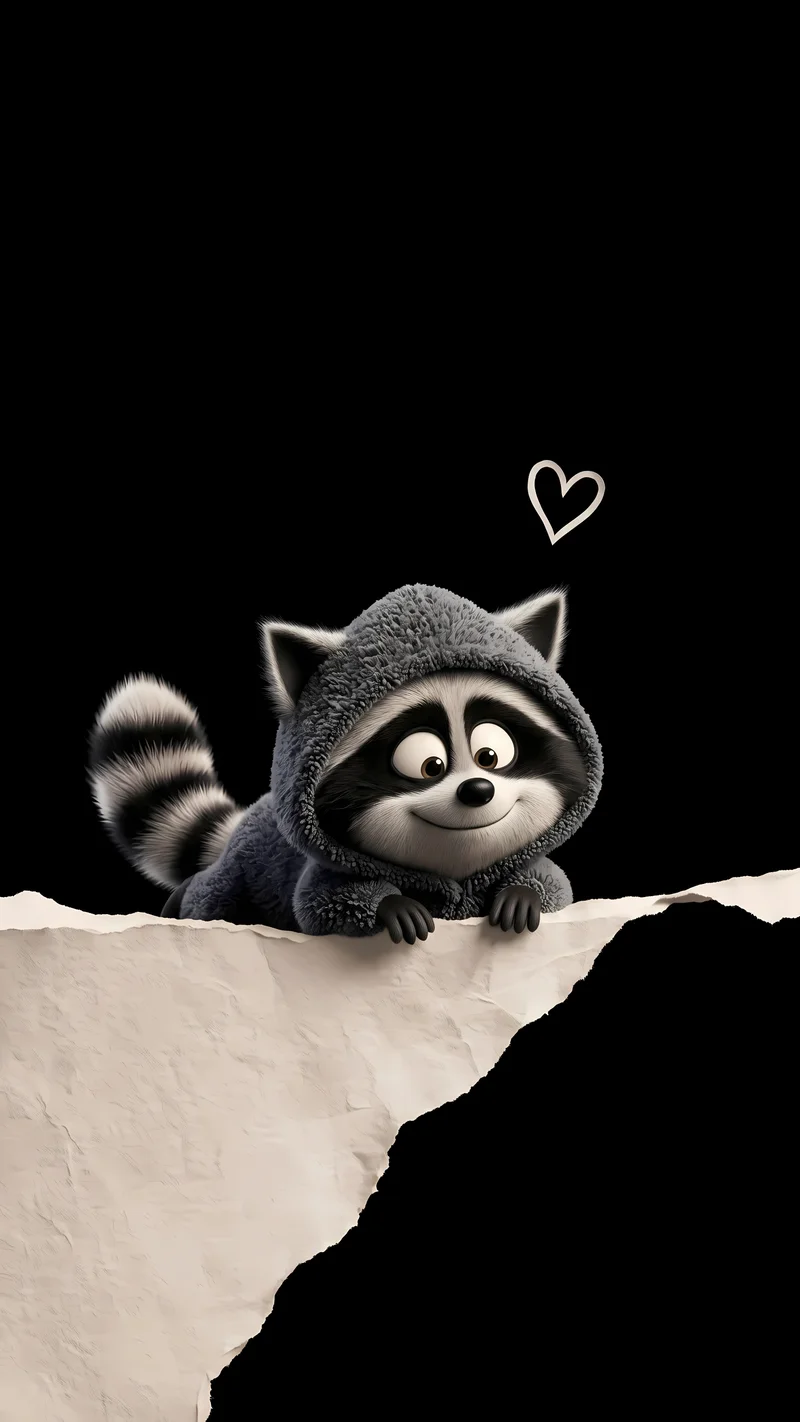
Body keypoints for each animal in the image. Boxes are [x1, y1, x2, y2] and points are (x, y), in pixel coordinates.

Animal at [89, 584, 603, 942]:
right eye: (427, 764)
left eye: (491, 754)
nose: (478, 790)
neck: (453, 873)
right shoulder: (318, 873)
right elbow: (320, 903)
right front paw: (384, 905)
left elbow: (556, 883)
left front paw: (523, 891)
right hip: (242, 873)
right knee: (213, 894)